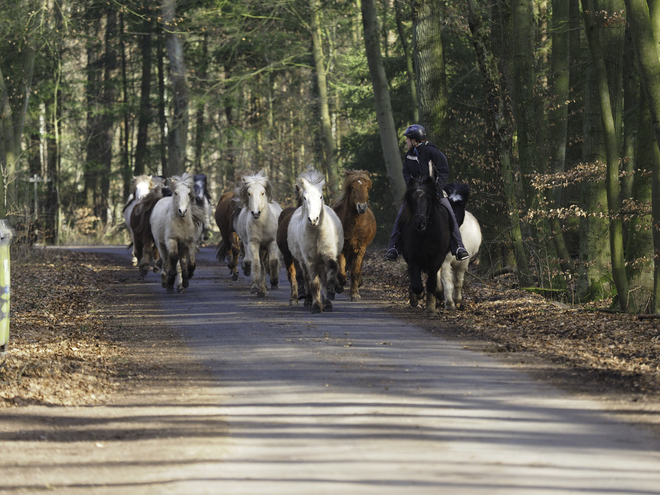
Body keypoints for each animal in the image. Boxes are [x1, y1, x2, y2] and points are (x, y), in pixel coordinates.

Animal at [286, 169, 342, 312]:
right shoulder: (310, 260)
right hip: (303, 261)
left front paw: (330, 292)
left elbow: (331, 269)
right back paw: (308, 301)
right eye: (305, 198)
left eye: (321, 197)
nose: (313, 219)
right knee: (307, 279)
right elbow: (315, 283)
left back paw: (326, 302)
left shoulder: (328, 254)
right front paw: (316, 306)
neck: (317, 233)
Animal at [330, 170, 376, 302]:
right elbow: (341, 271)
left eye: (366, 187)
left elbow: (355, 271)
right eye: (352, 187)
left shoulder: (361, 248)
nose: (362, 207)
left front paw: (355, 294)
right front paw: (340, 286)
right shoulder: (341, 249)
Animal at [400, 176, 452, 312]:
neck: (426, 234)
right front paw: (416, 297)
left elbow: (431, 283)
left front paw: (430, 307)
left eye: (428, 199)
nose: (420, 223)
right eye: (412, 199)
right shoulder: (414, 259)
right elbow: (417, 285)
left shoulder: (436, 259)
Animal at [436, 184, 482, 312]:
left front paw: (456, 300)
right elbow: (447, 283)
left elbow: (458, 282)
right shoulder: (444, 262)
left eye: (461, 205)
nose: (452, 222)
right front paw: (449, 304)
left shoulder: (463, 262)